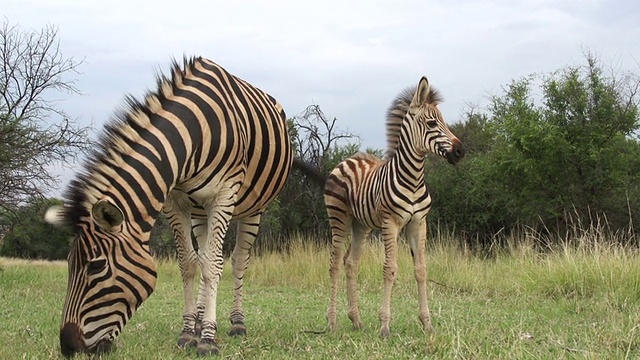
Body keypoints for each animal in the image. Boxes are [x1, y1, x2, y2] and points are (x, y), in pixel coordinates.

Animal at [45, 54, 292, 356]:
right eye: (69, 263)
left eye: (96, 266)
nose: (68, 346)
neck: (194, 135)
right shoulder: (175, 201)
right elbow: (188, 264)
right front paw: (189, 332)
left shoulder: (223, 195)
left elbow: (213, 265)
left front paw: (208, 339)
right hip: (199, 212)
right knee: (205, 256)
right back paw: (199, 320)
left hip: (253, 208)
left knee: (238, 261)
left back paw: (236, 323)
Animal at [322, 76, 462, 338]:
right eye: (431, 123)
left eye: (445, 122)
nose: (461, 152)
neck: (414, 179)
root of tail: (349, 159)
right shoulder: (391, 223)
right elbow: (390, 269)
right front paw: (385, 325)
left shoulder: (418, 223)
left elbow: (421, 270)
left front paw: (427, 323)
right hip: (339, 218)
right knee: (334, 264)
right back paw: (332, 322)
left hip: (360, 224)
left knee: (351, 264)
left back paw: (356, 320)